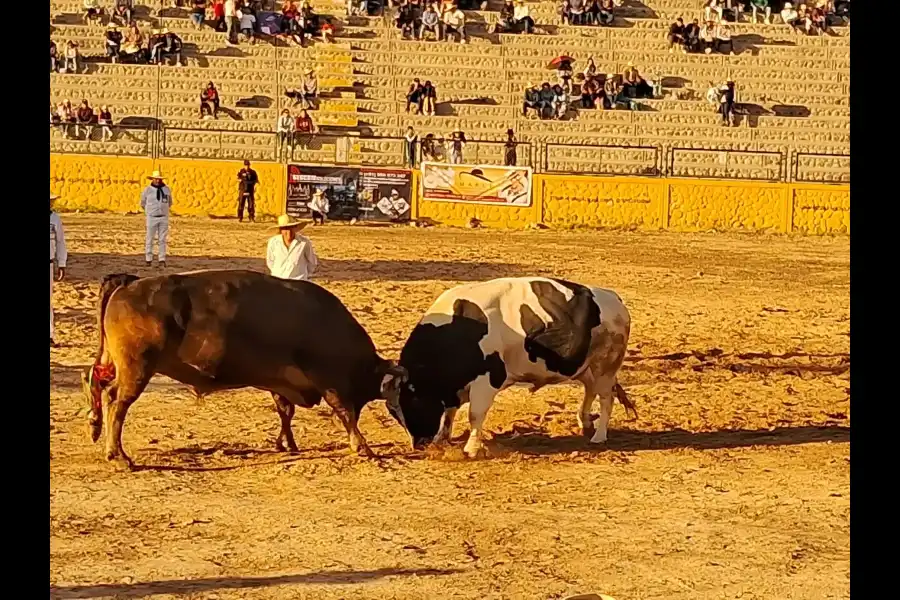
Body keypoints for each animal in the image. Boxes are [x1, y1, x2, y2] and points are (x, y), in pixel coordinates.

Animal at [83, 270, 408, 472]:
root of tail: (129, 283)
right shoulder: (330, 380)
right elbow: (344, 412)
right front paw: (362, 446)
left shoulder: (281, 382)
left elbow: (285, 411)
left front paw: (286, 444)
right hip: (137, 369)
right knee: (116, 402)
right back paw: (118, 455)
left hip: (116, 363)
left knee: (95, 382)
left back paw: (95, 426)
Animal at [390, 278, 636, 460]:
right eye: (394, 412)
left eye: (413, 403)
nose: (419, 444)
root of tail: (612, 297)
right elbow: (450, 412)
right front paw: (443, 437)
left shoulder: (487, 380)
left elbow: (474, 414)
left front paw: (471, 449)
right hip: (587, 367)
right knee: (590, 390)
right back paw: (584, 422)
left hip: (606, 366)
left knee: (606, 398)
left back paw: (599, 436)